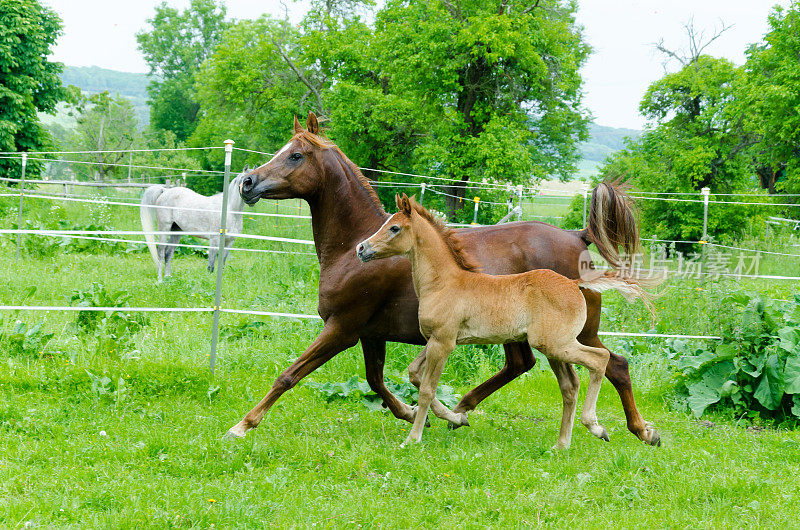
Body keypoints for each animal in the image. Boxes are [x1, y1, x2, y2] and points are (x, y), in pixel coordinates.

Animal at [356, 194, 648, 446]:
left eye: (394, 228)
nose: (361, 248)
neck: (444, 283)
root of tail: (574, 283)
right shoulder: (436, 340)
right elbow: (414, 373)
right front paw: (454, 416)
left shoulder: (444, 342)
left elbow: (427, 388)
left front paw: (413, 438)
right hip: (555, 347)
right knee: (570, 384)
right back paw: (562, 444)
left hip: (556, 344)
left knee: (600, 360)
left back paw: (599, 427)